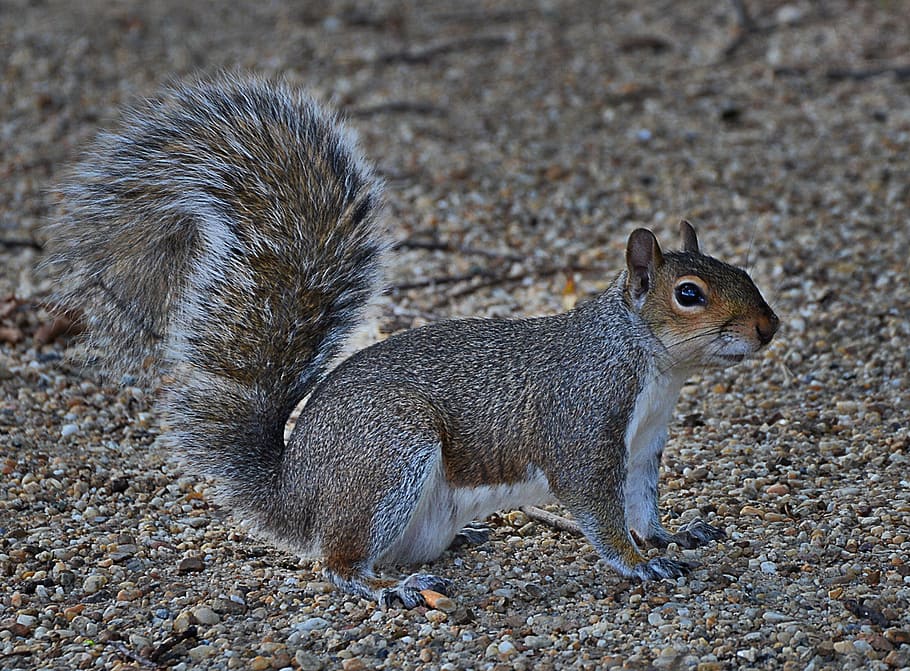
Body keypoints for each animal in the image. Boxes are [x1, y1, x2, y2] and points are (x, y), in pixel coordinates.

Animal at [43, 75, 780, 608]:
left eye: (742, 271)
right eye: (689, 293)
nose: (768, 327)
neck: (649, 365)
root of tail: (294, 492)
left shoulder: (644, 445)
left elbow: (643, 503)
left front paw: (670, 535)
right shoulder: (582, 425)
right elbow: (600, 510)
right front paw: (635, 564)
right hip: (390, 454)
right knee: (338, 561)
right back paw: (389, 586)